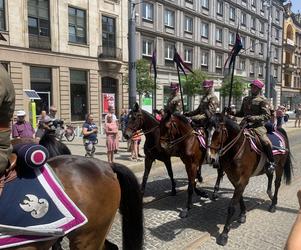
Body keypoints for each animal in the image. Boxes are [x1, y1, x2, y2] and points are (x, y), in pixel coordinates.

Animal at [206, 114, 290, 246]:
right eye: (206, 131)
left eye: (218, 132)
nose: (210, 158)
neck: (238, 149)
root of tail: (278, 130)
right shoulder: (234, 178)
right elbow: (239, 198)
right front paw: (242, 215)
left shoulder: (243, 179)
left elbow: (231, 206)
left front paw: (224, 234)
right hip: (267, 169)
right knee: (270, 177)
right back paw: (270, 196)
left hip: (280, 166)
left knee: (277, 183)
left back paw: (273, 205)